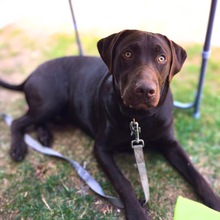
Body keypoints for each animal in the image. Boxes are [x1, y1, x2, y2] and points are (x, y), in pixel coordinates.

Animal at [0, 29, 220, 220]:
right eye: (128, 53)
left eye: (162, 58)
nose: (145, 90)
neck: (139, 118)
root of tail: (32, 73)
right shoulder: (101, 149)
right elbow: (123, 183)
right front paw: (137, 213)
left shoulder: (171, 144)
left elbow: (195, 173)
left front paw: (214, 202)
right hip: (51, 101)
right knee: (19, 122)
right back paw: (18, 148)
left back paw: (45, 136)